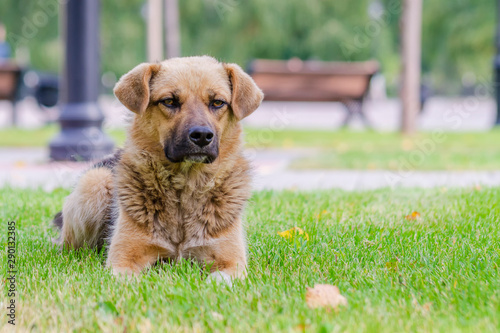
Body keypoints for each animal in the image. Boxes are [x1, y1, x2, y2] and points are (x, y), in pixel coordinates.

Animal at [53, 55, 266, 282]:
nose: (201, 136)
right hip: (95, 182)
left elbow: (217, 281)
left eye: (217, 102)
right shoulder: (122, 261)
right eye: (169, 101)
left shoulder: (232, 263)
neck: (184, 187)